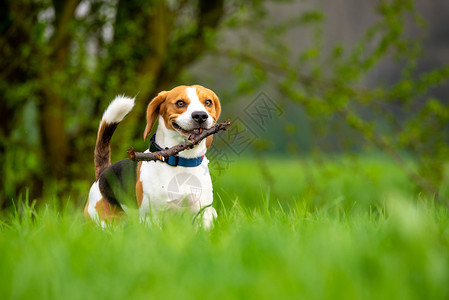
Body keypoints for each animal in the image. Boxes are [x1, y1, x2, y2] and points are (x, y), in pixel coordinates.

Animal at [84, 85, 220, 227]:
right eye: (180, 103)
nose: (200, 116)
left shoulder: (203, 213)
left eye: (208, 102)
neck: (182, 161)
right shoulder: (151, 217)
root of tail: (102, 174)